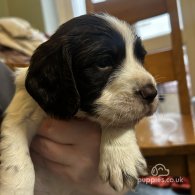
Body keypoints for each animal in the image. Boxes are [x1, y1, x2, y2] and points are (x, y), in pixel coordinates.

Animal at [0, 13, 158, 193]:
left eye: (141, 59)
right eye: (103, 63)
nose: (151, 92)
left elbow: (118, 117)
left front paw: (121, 156)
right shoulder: (20, 113)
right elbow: (16, 158)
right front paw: (15, 189)